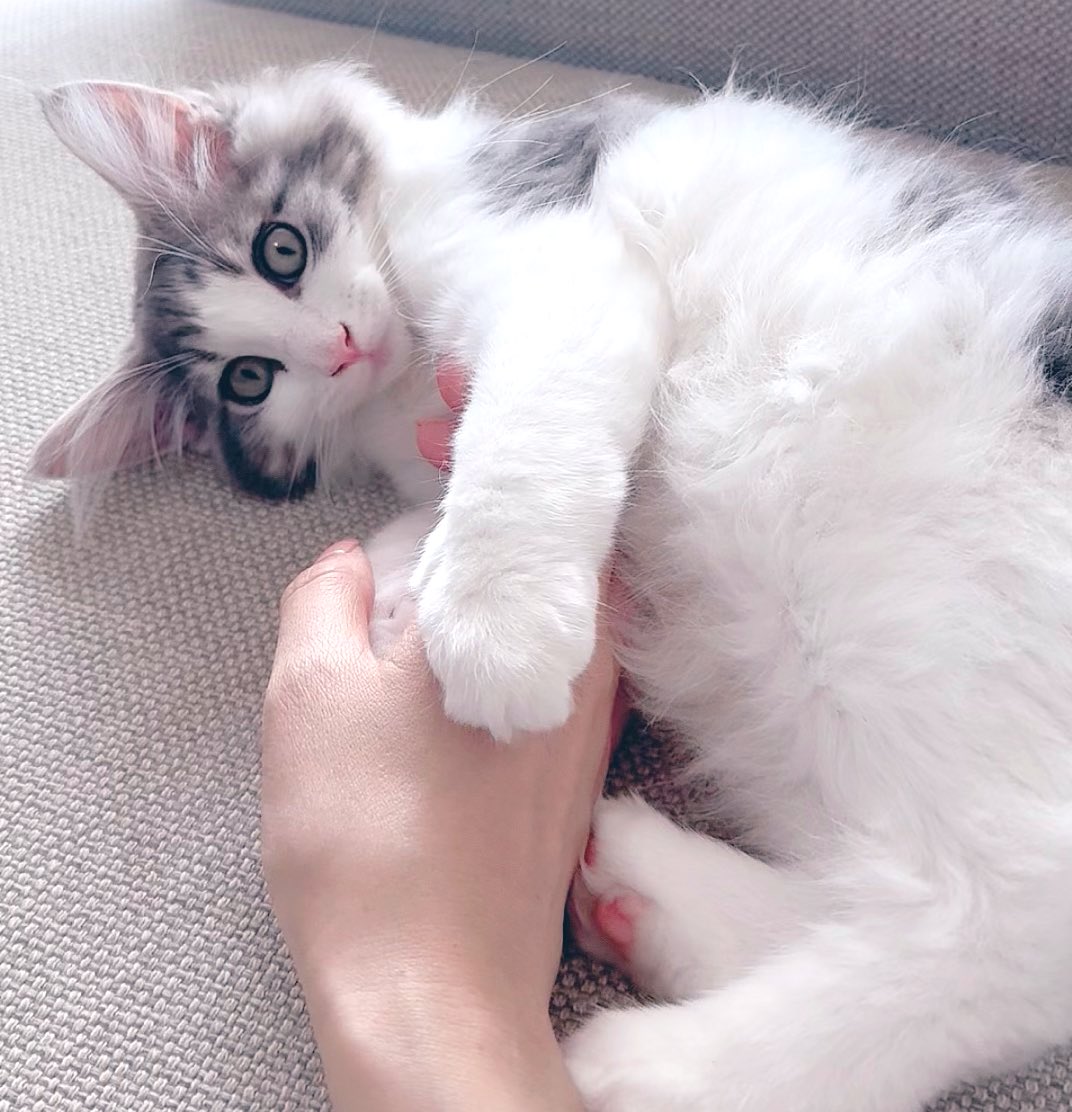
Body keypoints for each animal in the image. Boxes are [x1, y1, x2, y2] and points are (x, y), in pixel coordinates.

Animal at [30, 64, 1072, 1112]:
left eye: (279, 248)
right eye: (249, 379)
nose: (338, 347)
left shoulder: (564, 256)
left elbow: (518, 432)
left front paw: (494, 627)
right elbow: (412, 525)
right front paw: (397, 595)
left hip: (907, 610)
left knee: (1008, 915)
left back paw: (652, 1071)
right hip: (813, 687)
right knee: (894, 885)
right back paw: (651, 895)